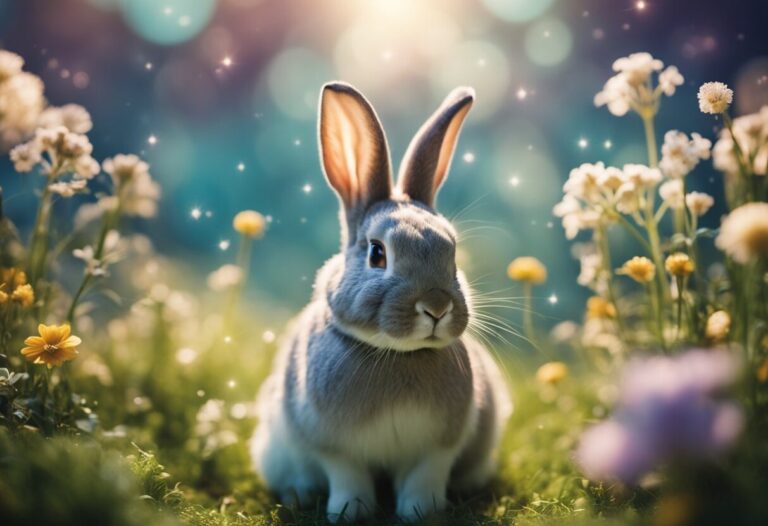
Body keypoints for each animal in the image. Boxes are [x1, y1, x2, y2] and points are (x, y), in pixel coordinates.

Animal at [250, 81, 512, 523]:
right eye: (377, 254)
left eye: (452, 255)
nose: (436, 307)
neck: (397, 355)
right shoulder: (334, 447)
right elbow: (348, 477)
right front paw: (350, 512)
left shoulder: (438, 449)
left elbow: (424, 479)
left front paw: (423, 513)